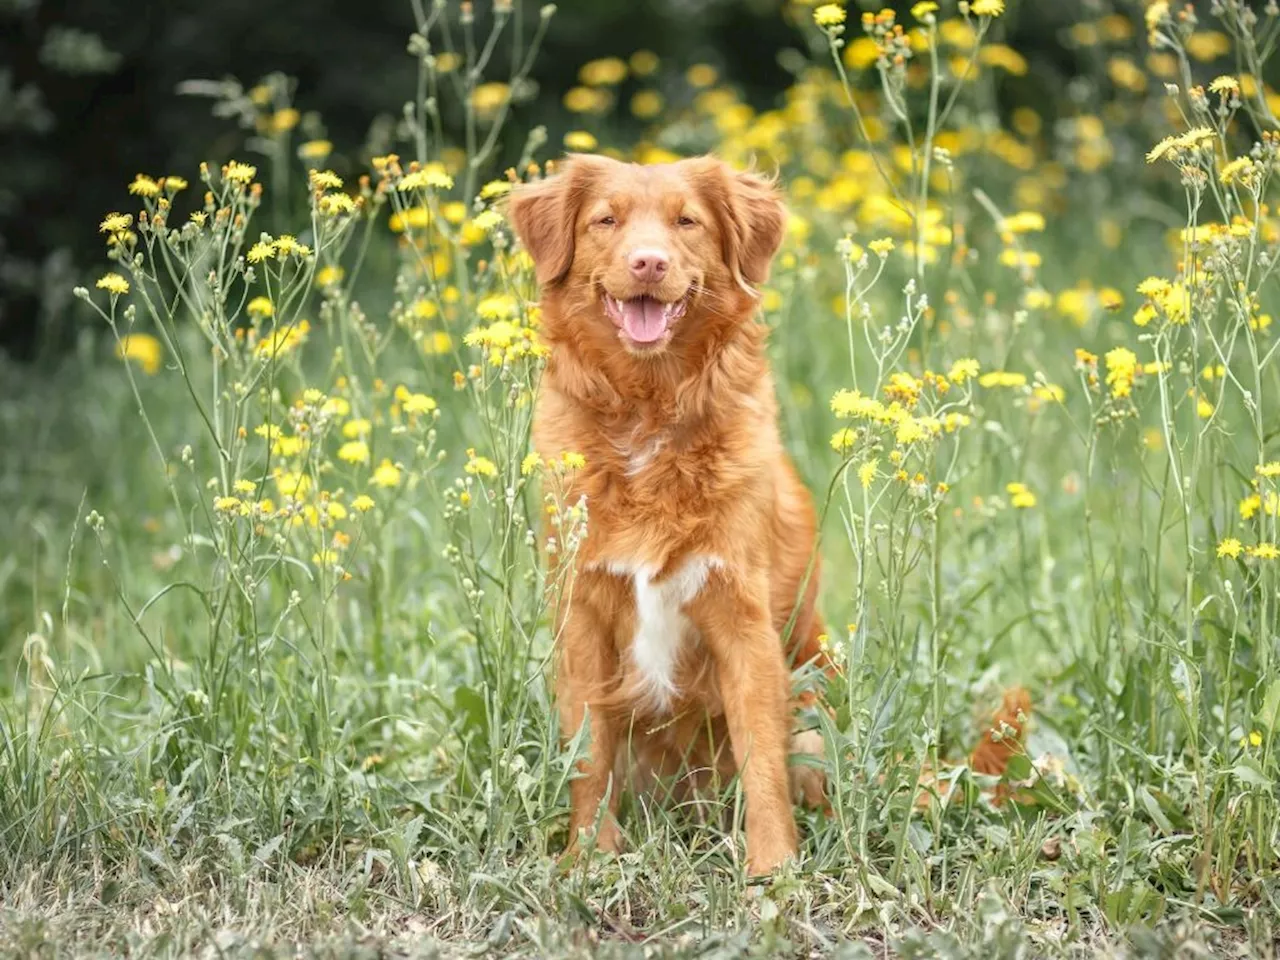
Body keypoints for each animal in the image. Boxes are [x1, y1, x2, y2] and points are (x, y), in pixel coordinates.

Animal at [509, 152, 829, 880]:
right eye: (606, 220)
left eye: (688, 222)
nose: (649, 263)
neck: (648, 409)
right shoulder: (581, 615)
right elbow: (589, 755)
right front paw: (589, 856)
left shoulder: (744, 621)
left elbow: (762, 758)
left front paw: (772, 868)